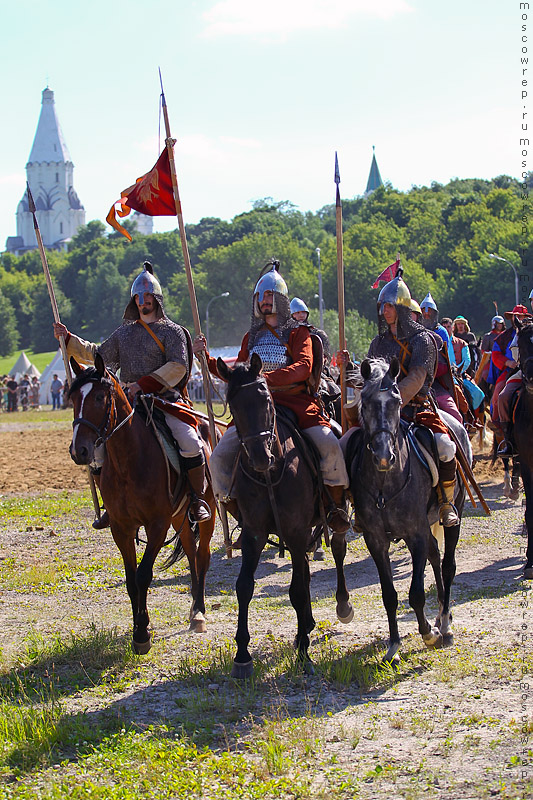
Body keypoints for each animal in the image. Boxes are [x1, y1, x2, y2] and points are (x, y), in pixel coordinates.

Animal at [67, 354, 215, 648]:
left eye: (99, 397)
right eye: (74, 398)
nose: (80, 451)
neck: (128, 461)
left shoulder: (156, 525)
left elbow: (143, 574)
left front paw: (142, 633)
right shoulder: (121, 528)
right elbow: (130, 579)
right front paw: (138, 627)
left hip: (209, 511)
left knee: (202, 555)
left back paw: (200, 612)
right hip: (179, 516)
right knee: (191, 551)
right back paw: (194, 610)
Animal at [344, 356, 470, 664]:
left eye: (397, 401)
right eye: (365, 401)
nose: (383, 456)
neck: (384, 485)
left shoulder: (416, 535)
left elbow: (415, 593)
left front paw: (428, 634)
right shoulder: (376, 540)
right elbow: (389, 595)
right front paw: (394, 645)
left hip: (454, 515)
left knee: (448, 565)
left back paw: (444, 624)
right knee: (436, 556)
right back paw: (441, 617)